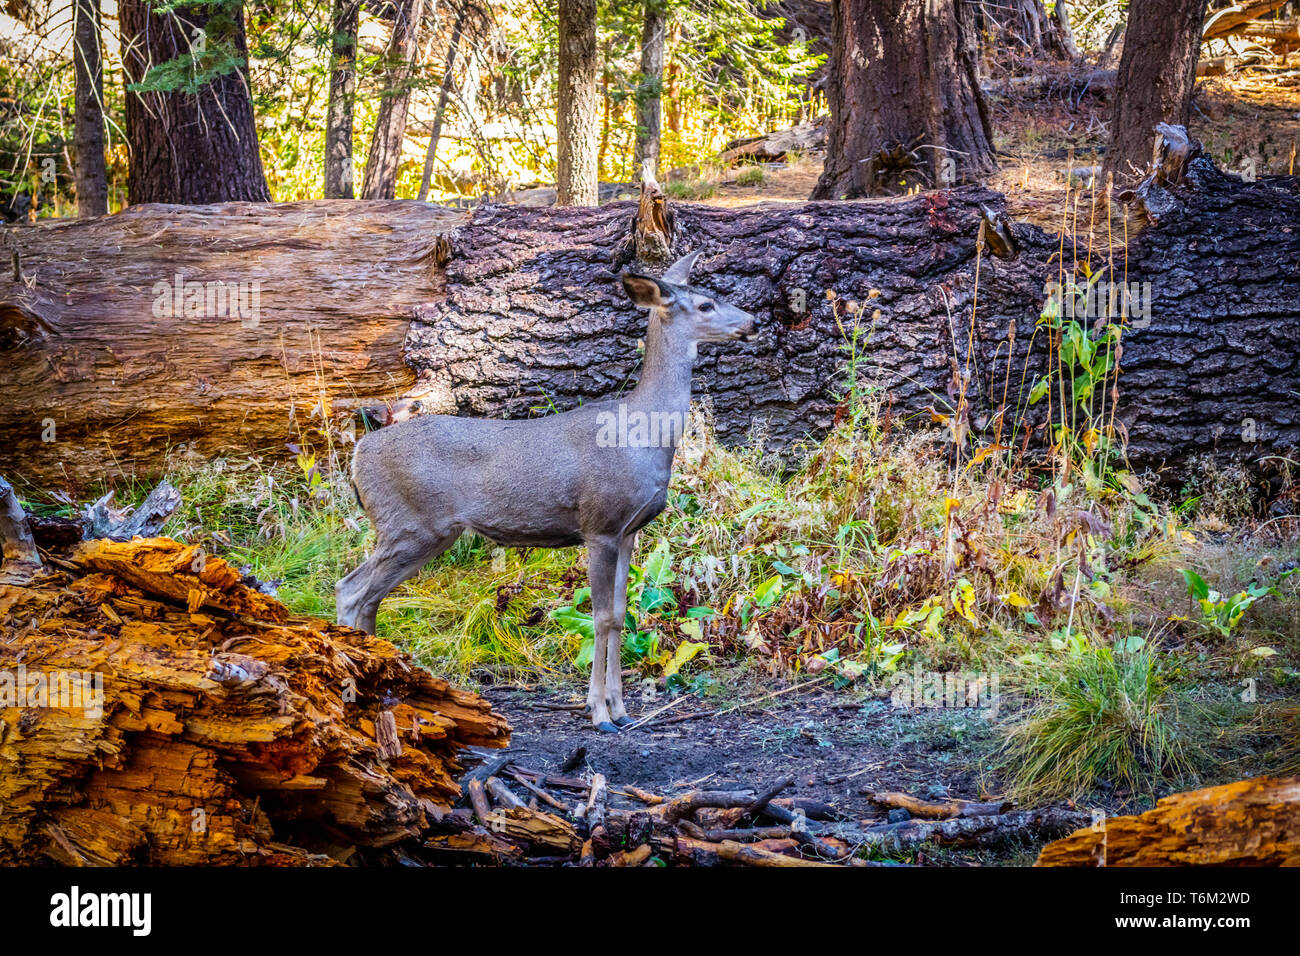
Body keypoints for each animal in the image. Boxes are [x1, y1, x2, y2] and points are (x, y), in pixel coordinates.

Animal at [336, 250, 757, 732]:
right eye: (705, 304)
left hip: (420, 530)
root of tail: (358, 454)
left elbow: (620, 616)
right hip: (409, 523)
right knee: (351, 591)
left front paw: (622, 710)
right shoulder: (599, 524)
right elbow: (600, 617)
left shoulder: (630, 531)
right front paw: (599, 713)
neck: (642, 435)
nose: (754, 322)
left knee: (368, 597)